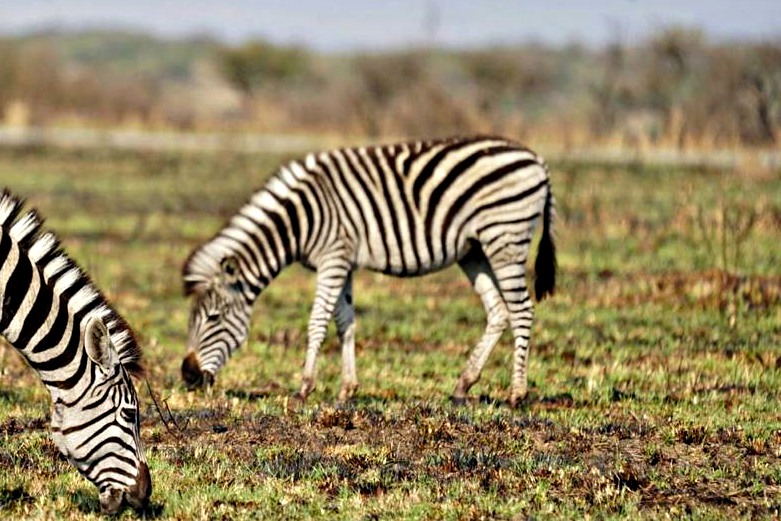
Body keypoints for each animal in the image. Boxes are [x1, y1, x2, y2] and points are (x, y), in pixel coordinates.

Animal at [181, 135, 556, 406]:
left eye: (213, 318)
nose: (188, 377)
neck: (301, 219)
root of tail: (537, 159)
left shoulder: (333, 256)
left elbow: (317, 321)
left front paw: (304, 387)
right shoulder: (344, 262)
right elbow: (344, 322)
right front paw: (347, 389)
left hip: (505, 236)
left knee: (522, 311)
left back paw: (517, 394)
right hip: (475, 249)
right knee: (499, 311)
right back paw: (462, 386)